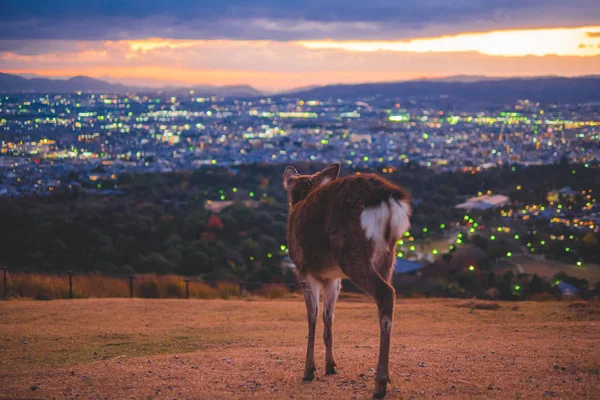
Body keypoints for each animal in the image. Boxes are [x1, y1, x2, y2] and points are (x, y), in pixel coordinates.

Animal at [284, 164, 410, 398]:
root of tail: (387, 198)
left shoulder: (304, 270)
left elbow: (312, 316)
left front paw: (309, 370)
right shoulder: (332, 278)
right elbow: (328, 316)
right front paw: (330, 366)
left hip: (351, 252)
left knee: (386, 293)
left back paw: (379, 384)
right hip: (388, 254)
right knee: (388, 294)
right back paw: (387, 376)